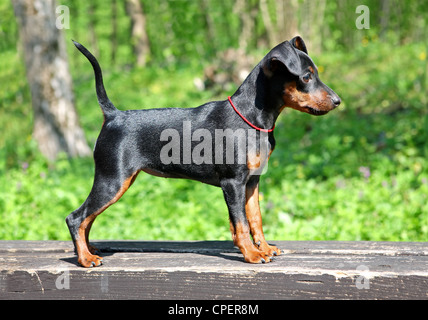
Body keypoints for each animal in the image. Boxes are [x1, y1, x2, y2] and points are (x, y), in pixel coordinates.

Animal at [67, 37, 342, 268]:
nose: (338, 101)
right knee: (75, 217)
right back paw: (85, 258)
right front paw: (252, 254)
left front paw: (264, 248)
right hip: (113, 180)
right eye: (306, 77)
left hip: (118, 182)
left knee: (87, 219)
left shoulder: (252, 182)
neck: (252, 118)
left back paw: (90, 250)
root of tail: (113, 115)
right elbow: (241, 223)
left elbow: (255, 219)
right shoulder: (233, 182)